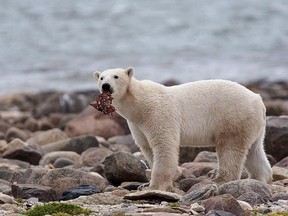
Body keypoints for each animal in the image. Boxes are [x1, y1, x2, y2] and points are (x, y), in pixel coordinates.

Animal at [93, 68, 272, 192]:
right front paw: (146, 184)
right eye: (101, 77)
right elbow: (147, 147)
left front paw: (155, 185)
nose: (106, 86)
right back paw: (260, 179)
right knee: (255, 151)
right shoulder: (136, 124)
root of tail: (258, 100)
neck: (139, 104)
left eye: (116, 76)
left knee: (230, 148)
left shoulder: (158, 113)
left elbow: (164, 145)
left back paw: (220, 180)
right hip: (253, 124)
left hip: (233, 117)